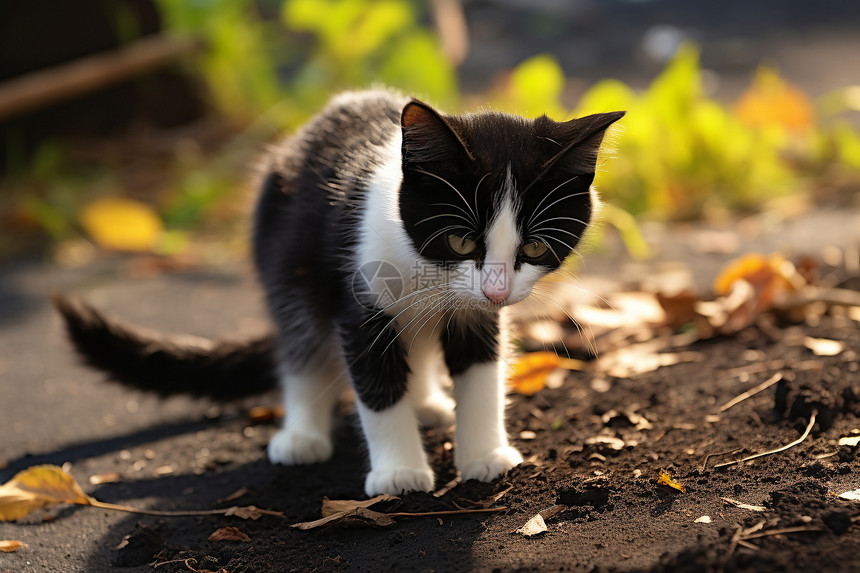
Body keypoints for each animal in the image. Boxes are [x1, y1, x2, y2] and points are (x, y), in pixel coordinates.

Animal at [53, 89, 620, 496]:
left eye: (535, 245)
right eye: (461, 239)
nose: (497, 289)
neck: (426, 268)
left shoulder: (475, 312)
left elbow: (481, 368)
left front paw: (483, 455)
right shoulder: (358, 295)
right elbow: (374, 381)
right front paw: (398, 473)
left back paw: (428, 403)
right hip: (288, 266)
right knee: (302, 344)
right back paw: (302, 434)